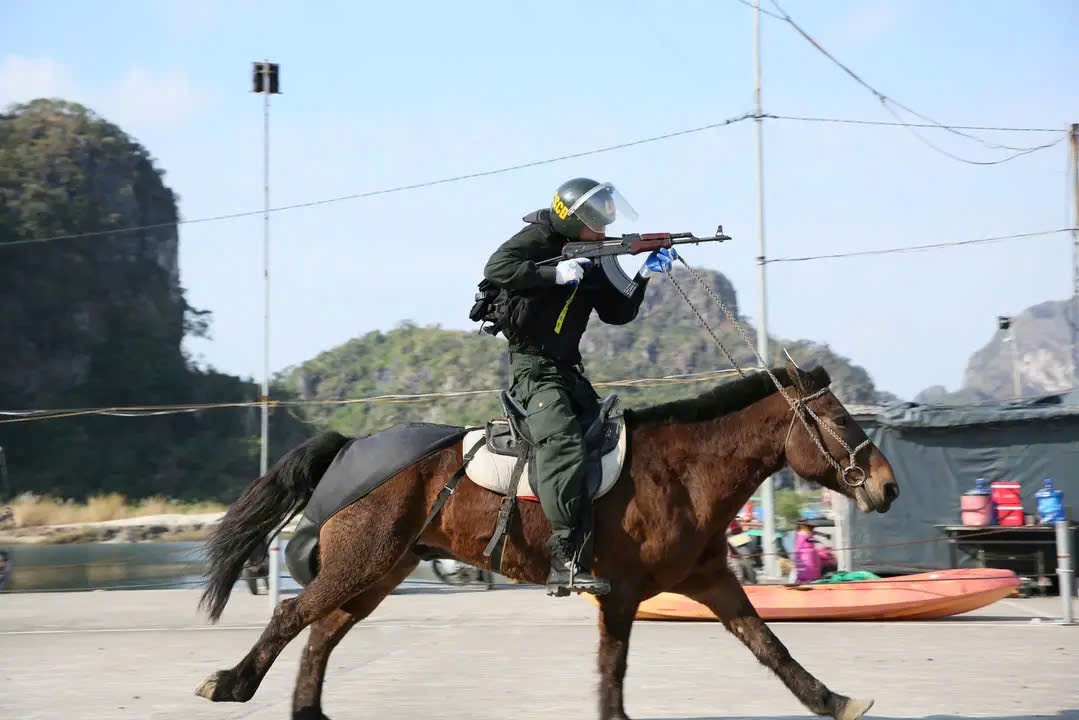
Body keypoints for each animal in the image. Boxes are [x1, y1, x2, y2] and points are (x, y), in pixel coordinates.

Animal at [196, 360, 902, 720]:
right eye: (841, 420)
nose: (888, 487)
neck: (683, 470)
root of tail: (349, 446)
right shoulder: (620, 592)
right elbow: (613, 670)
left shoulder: (711, 580)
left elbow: (770, 647)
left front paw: (834, 699)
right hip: (360, 562)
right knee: (294, 614)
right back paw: (231, 683)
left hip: (381, 572)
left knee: (322, 632)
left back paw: (304, 710)